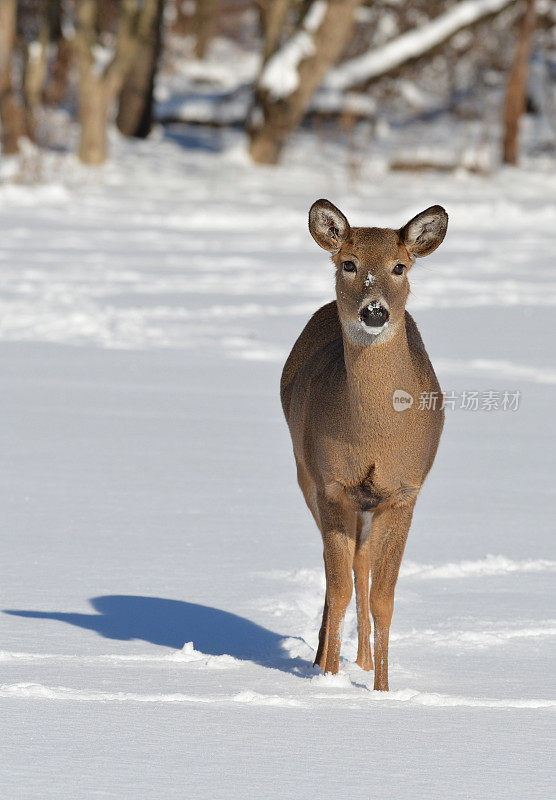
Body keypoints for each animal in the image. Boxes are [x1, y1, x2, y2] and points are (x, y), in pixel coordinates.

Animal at [282, 198, 448, 688]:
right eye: (349, 263)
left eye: (400, 266)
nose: (375, 311)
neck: (374, 437)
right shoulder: (333, 483)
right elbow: (338, 588)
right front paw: (328, 679)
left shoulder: (404, 490)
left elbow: (383, 599)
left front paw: (382, 689)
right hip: (305, 473)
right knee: (341, 570)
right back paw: (327, 658)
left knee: (362, 565)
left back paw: (365, 662)